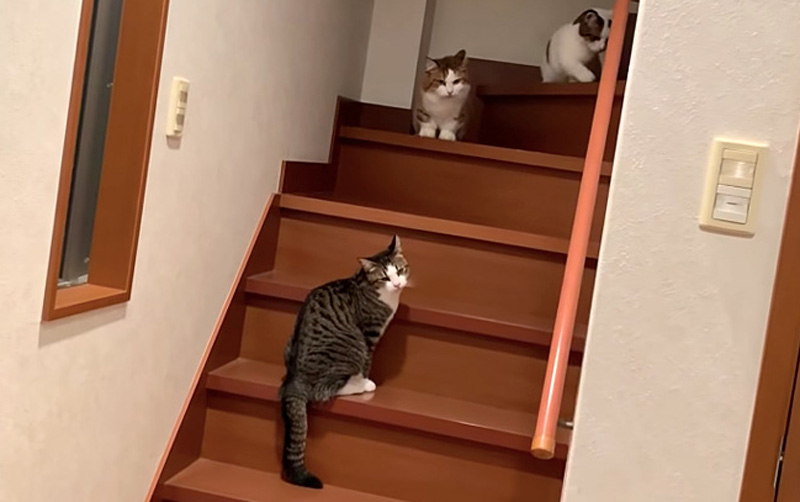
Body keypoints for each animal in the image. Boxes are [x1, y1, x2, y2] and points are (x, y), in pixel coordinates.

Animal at [279, 235, 409, 489]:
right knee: (322, 391)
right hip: (352, 347)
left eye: (400, 270)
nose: (398, 284)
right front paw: (366, 379)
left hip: (288, 344)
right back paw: (361, 385)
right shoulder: (369, 334)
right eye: (384, 277)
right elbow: (368, 361)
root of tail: (295, 381)